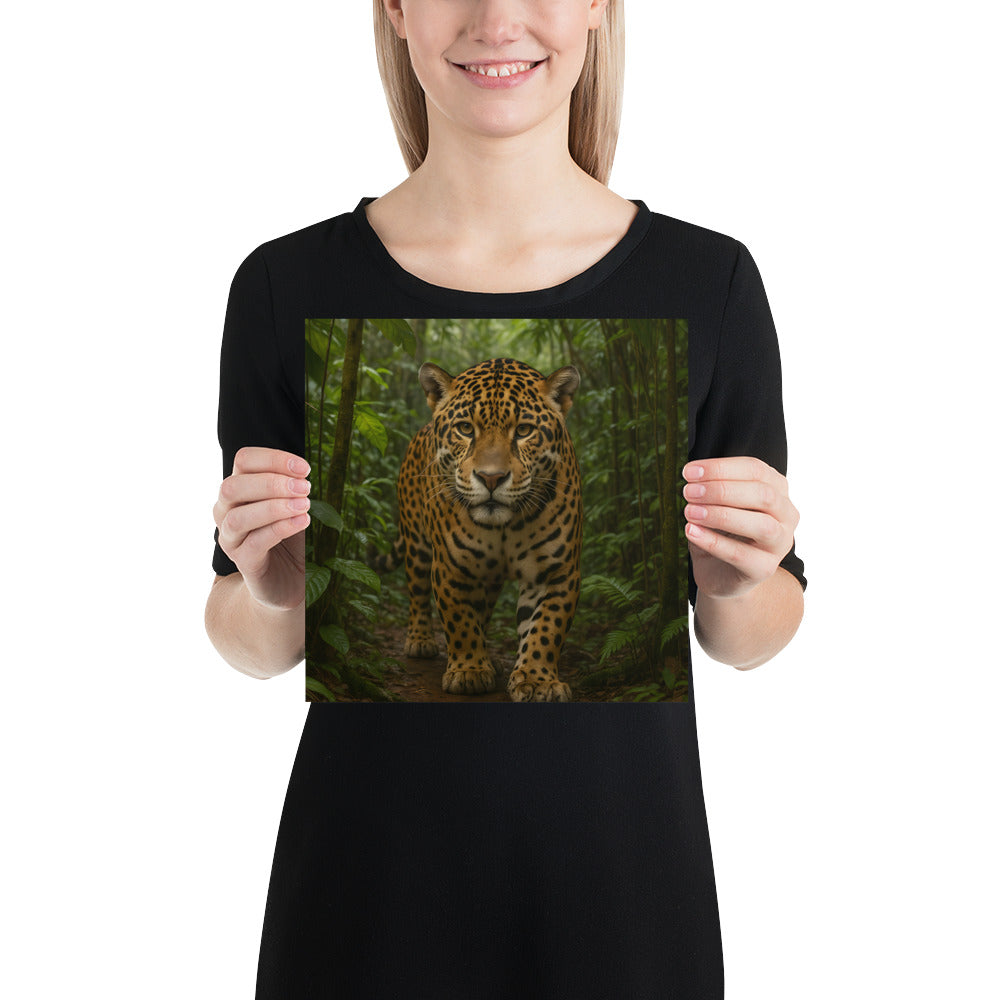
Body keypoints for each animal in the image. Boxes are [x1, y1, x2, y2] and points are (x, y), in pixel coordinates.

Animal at [376, 357, 583, 702]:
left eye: (524, 430)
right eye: (465, 429)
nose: (491, 478)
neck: (506, 526)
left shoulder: (557, 571)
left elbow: (546, 628)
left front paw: (537, 680)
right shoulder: (450, 566)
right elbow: (460, 621)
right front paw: (468, 671)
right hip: (417, 543)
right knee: (417, 591)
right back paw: (420, 640)